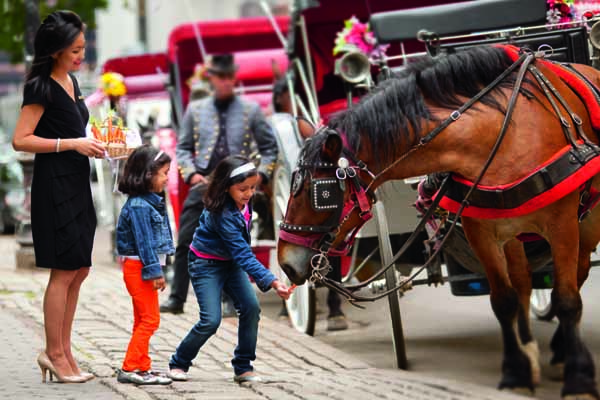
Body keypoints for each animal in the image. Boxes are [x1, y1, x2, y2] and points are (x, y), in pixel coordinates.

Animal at [278, 45, 600, 398]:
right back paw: (532, 348)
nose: (284, 262)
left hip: (587, 219)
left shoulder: (562, 225)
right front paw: (516, 374)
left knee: (576, 276)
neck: (506, 133)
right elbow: (504, 300)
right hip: (516, 232)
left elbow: (567, 300)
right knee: (524, 282)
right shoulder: (482, 231)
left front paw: (579, 379)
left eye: (319, 193)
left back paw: (561, 349)